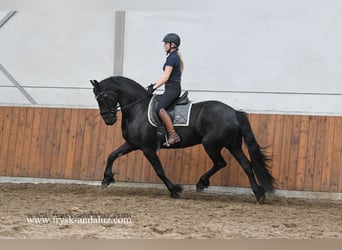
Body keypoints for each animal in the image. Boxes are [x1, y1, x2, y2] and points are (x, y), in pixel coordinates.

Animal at [91, 75, 276, 203]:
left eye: (102, 97)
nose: (108, 120)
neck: (138, 108)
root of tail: (234, 112)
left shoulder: (147, 149)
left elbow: (159, 170)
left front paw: (174, 190)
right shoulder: (132, 144)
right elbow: (112, 155)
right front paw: (106, 179)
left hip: (211, 144)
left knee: (221, 162)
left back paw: (202, 183)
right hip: (233, 145)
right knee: (246, 165)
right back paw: (259, 194)